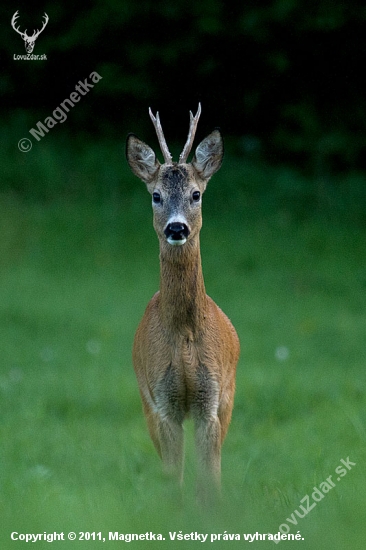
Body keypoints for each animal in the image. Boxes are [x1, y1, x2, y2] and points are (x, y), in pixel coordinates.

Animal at [126, 104, 240, 496]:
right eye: (156, 195)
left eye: (196, 194)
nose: (177, 228)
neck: (186, 333)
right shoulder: (163, 402)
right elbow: (172, 481)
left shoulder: (211, 401)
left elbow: (211, 484)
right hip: (145, 400)